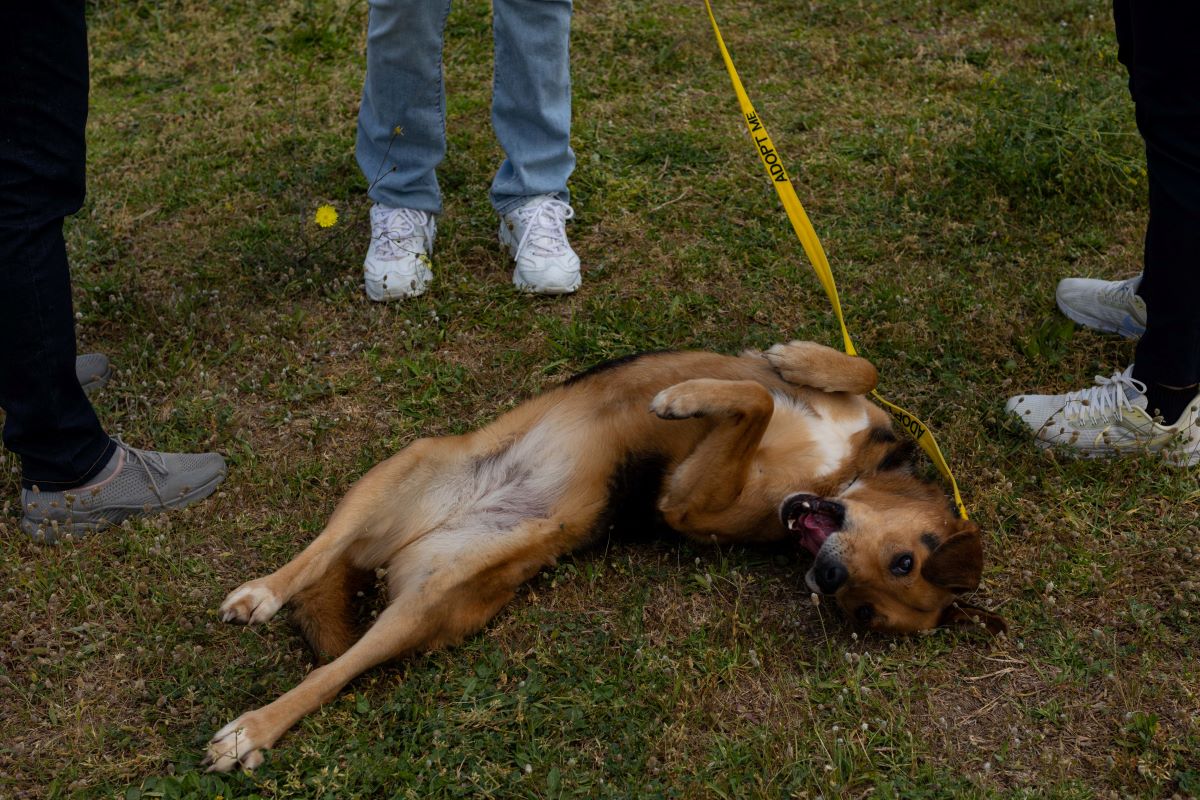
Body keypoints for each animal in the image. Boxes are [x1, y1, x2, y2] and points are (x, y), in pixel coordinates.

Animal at [204, 340, 1003, 772]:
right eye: (903, 562)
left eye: (863, 610)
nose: (826, 578)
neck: (841, 474)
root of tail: (411, 542)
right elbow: (830, 375)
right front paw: (782, 363)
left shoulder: (688, 503)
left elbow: (755, 405)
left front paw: (700, 394)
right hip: (406, 466)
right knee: (318, 556)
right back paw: (261, 593)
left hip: (432, 599)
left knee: (338, 668)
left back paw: (254, 727)